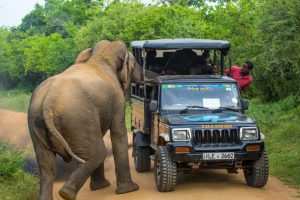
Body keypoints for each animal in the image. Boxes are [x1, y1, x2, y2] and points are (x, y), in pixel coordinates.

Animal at [27, 39, 142, 199]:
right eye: (135, 62)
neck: (99, 57)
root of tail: (47, 103)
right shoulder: (117, 100)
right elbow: (118, 131)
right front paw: (129, 190)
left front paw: (101, 187)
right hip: (76, 118)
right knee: (97, 153)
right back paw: (66, 194)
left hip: (36, 123)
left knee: (46, 166)